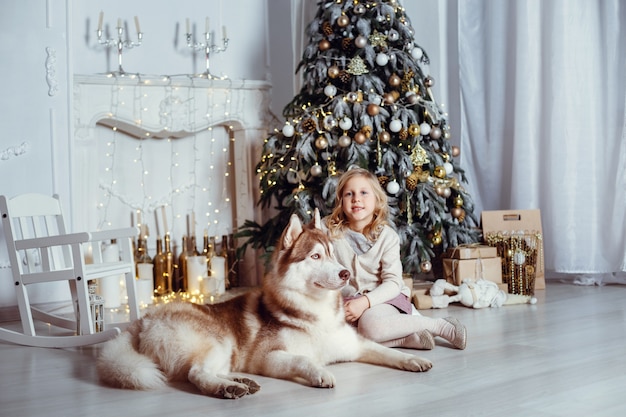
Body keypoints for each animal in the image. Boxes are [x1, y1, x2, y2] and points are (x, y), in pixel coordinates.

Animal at [96, 210, 428, 398]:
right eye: (315, 256)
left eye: (334, 255)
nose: (345, 273)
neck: (315, 313)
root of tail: (142, 320)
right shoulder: (269, 358)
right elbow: (303, 360)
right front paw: (319, 373)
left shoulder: (356, 345)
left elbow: (386, 350)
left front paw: (412, 360)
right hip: (217, 341)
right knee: (196, 373)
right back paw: (226, 388)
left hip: (226, 353)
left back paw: (239, 381)